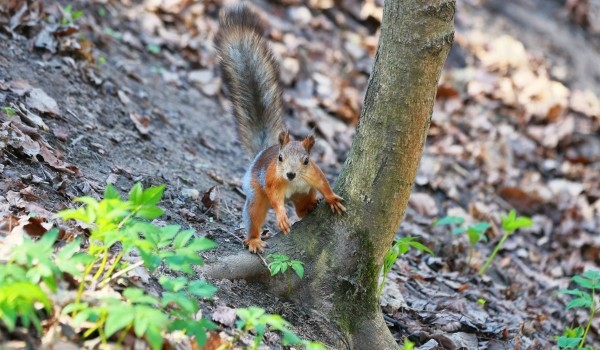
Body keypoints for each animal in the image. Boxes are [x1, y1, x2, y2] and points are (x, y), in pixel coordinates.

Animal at [216, 4, 346, 253]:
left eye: (306, 160)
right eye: (280, 158)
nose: (291, 174)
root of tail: (261, 152)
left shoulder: (314, 174)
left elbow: (324, 183)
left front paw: (332, 198)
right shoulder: (272, 181)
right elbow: (276, 200)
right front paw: (282, 217)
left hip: (304, 193)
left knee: (302, 206)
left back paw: (310, 207)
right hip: (256, 195)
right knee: (254, 215)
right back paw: (254, 240)